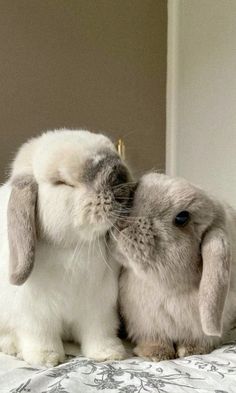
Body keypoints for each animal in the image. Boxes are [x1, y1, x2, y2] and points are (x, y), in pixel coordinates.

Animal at [0, 128, 133, 364]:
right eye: (62, 182)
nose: (118, 177)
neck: (71, 248)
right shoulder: (35, 315)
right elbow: (41, 335)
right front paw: (46, 358)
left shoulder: (99, 310)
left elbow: (99, 333)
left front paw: (109, 353)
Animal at [115, 173, 236, 360]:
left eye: (182, 218)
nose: (122, 223)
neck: (168, 288)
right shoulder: (146, 324)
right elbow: (154, 338)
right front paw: (156, 353)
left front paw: (191, 350)